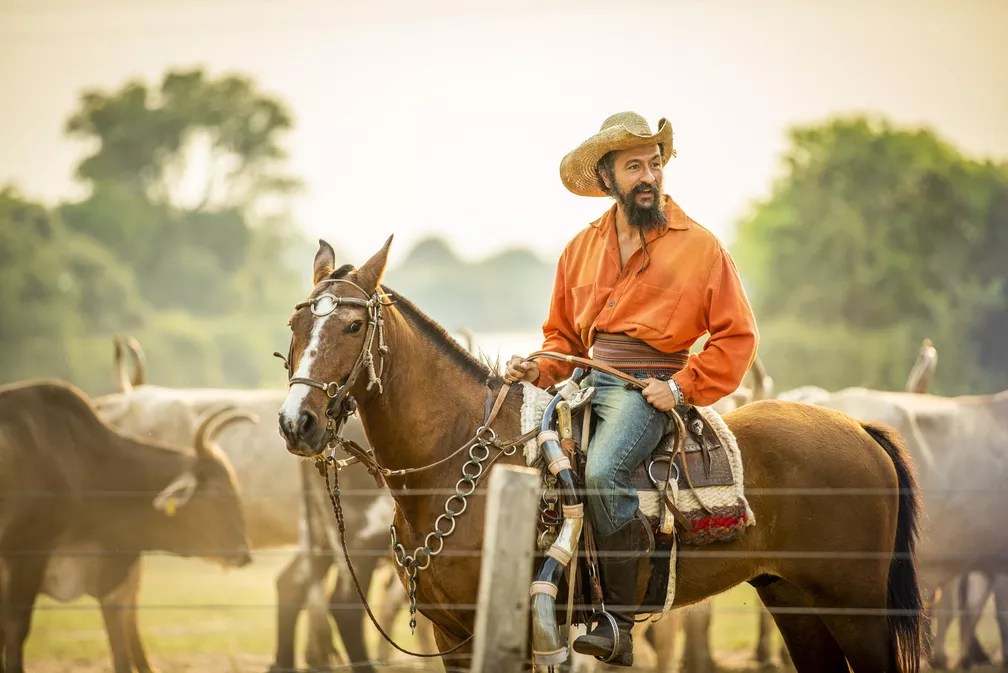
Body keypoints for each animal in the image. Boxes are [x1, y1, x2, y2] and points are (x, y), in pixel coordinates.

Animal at [276, 238, 923, 668]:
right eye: (297, 325)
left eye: (353, 327)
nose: (296, 422)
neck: (462, 465)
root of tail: (862, 429)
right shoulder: (452, 635)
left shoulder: (509, 630)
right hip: (793, 600)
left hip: (855, 608)